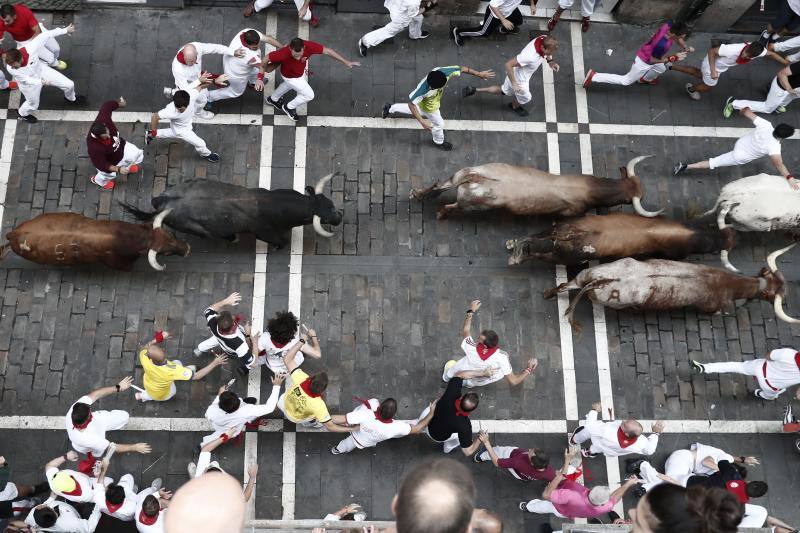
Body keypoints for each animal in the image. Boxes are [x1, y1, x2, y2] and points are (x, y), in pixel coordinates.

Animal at [120, 176, 342, 248]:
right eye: (321, 218)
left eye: (330, 202)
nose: (339, 217)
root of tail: (161, 201)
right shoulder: (264, 233)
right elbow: (282, 242)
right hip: (196, 228)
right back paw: (231, 238)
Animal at [544, 244, 800, 328]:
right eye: (773, 295)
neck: (725, 282)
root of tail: (602, 280)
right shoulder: (709, 306)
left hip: (584, 275)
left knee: (565, 285)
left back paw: (549, 294)